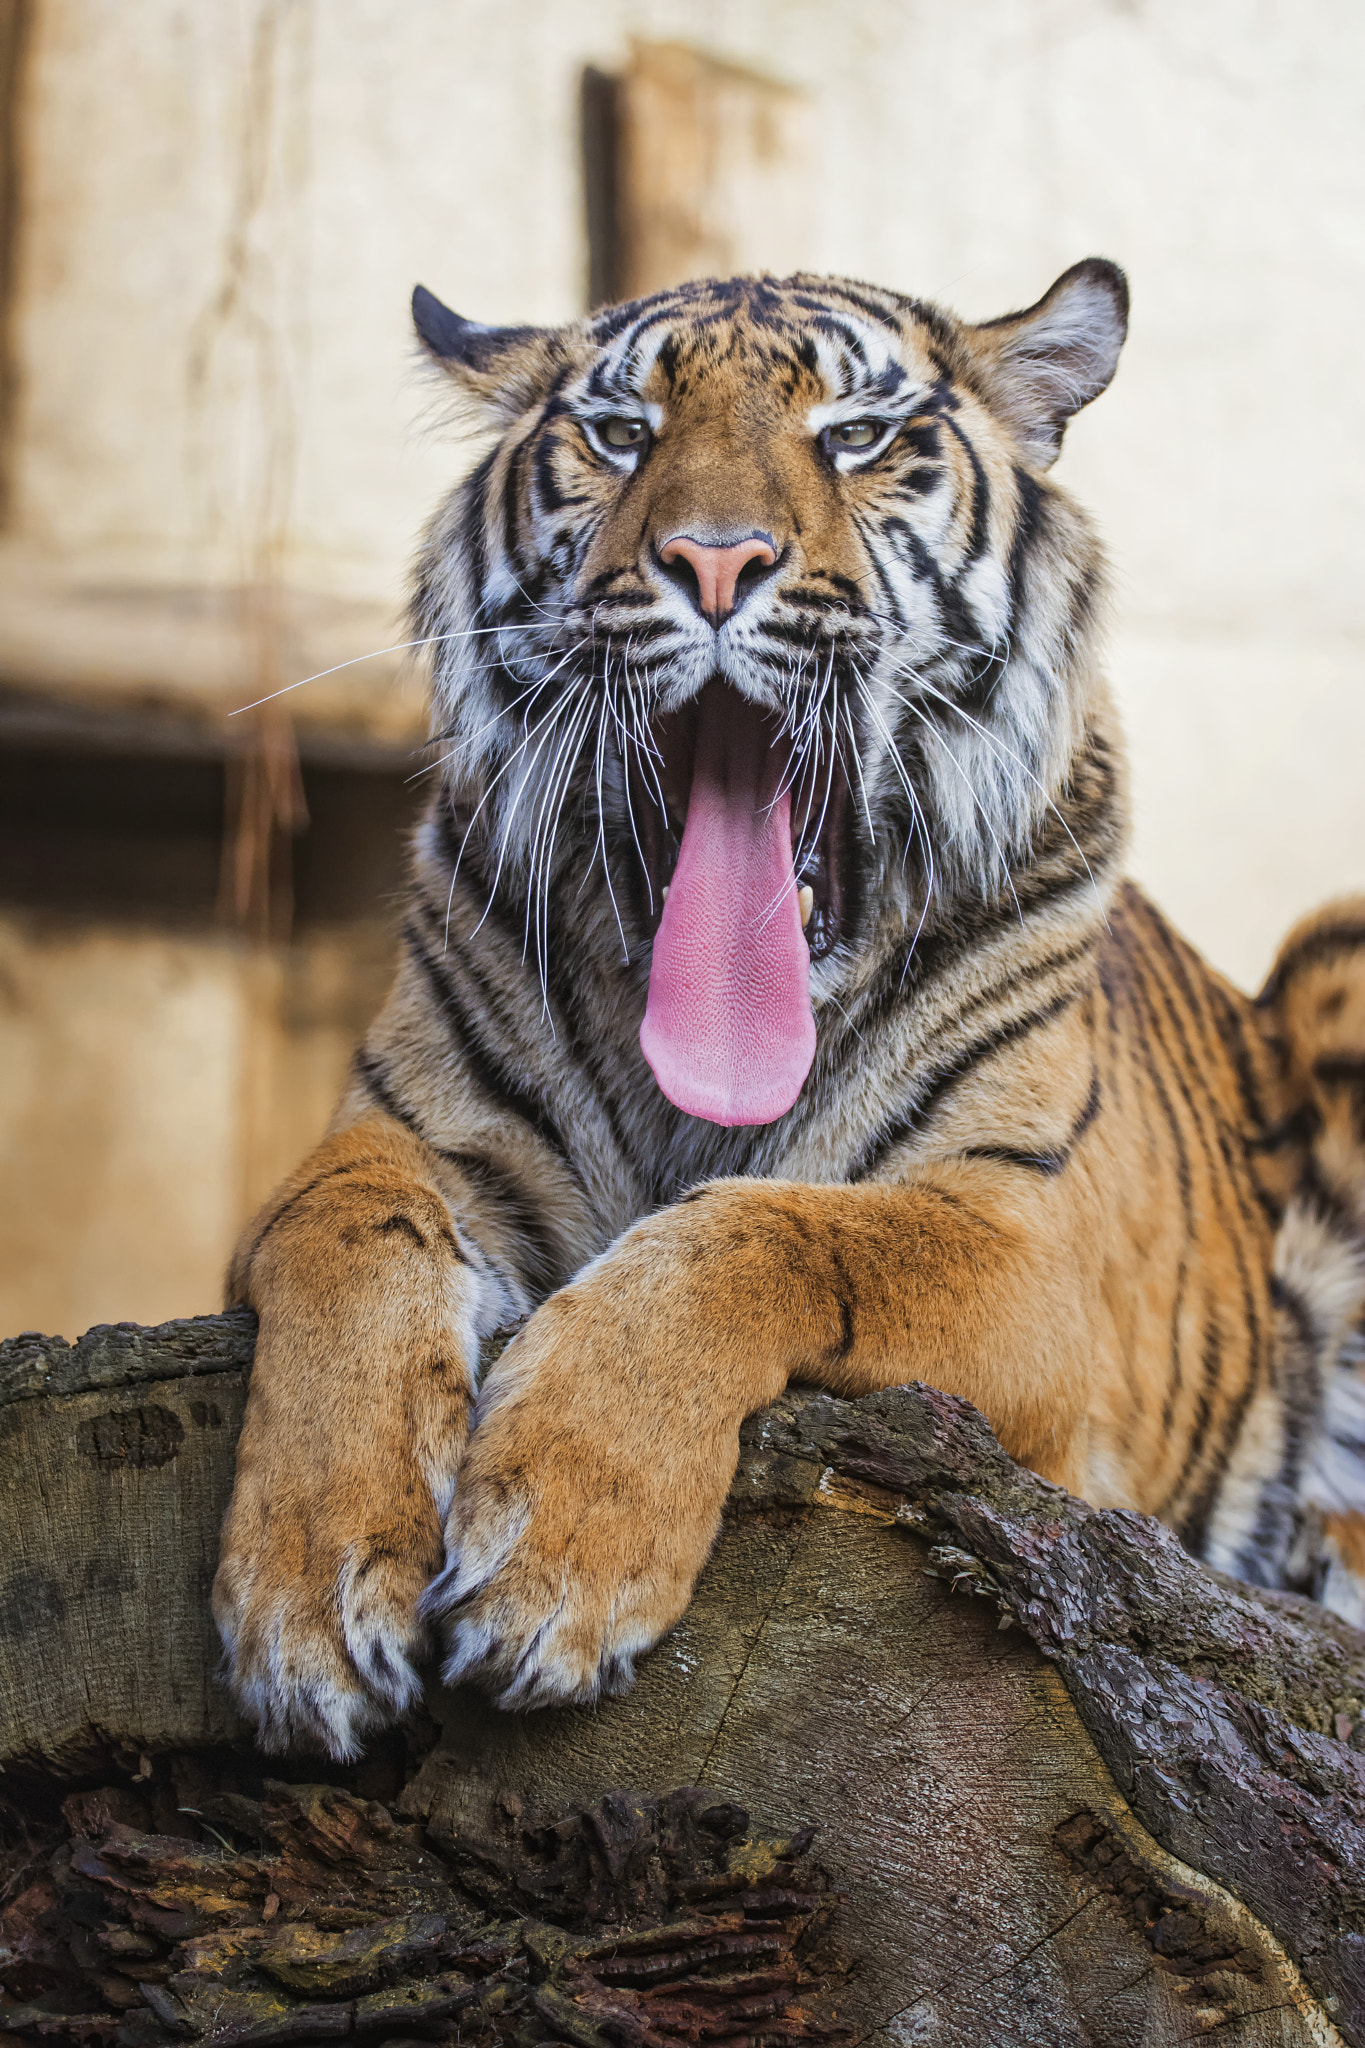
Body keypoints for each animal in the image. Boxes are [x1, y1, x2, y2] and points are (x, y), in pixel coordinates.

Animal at [208, 260, 1365, 1761]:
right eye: (622, 435)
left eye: (857, 437)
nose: (713, 562)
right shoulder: (405, 1135)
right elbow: (342, 1238)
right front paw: (309, 1602)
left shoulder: (1024, 1245)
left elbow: (771, 1232)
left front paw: (553, 1559)